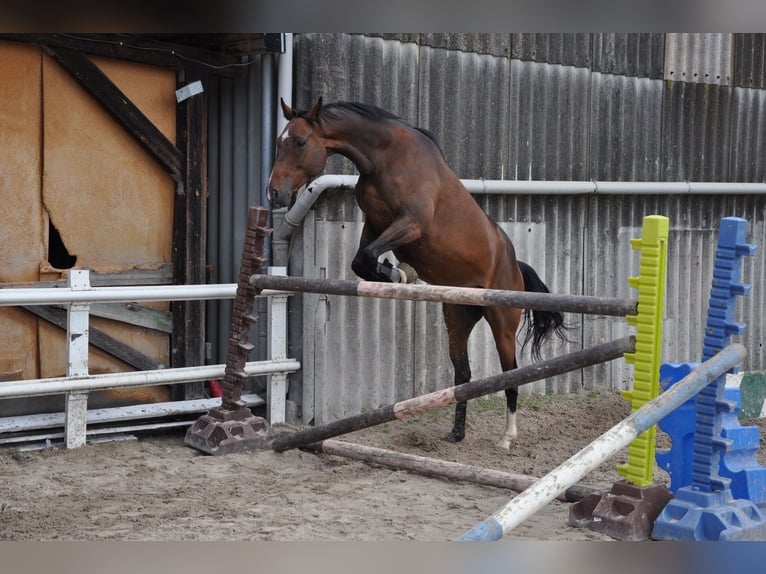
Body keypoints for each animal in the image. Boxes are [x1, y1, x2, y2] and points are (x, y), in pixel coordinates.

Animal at [268, 98, 568, 450]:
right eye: (279, 143)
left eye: (301, 142)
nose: (274, 194)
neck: (383, 156)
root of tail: (514, 264)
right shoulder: (375, 224)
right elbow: (360, 262)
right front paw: (399, 273)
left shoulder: (411, 223)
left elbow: (368, 258)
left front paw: (401, 274)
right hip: (458, 316)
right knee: (463, 375)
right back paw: (456, 433)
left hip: (502, 323)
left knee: (511, 374)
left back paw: (507, 438)